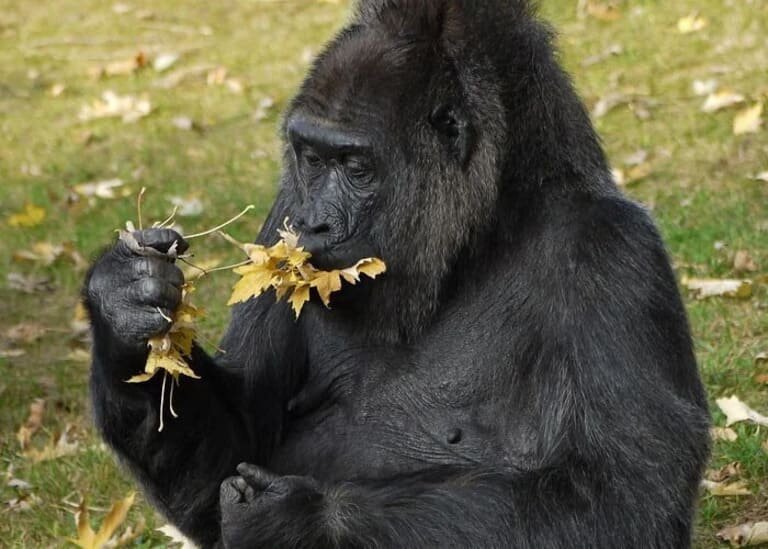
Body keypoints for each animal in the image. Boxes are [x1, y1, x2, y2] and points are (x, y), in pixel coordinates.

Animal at [82, 1, 708, 548]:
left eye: (356, 166)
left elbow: (623, 501)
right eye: (312, 159)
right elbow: (232, 454)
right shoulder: (287, 203)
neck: (481, 235)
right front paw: (123, 306)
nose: (312, 224)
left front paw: (304, 520)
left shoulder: (613, 252)